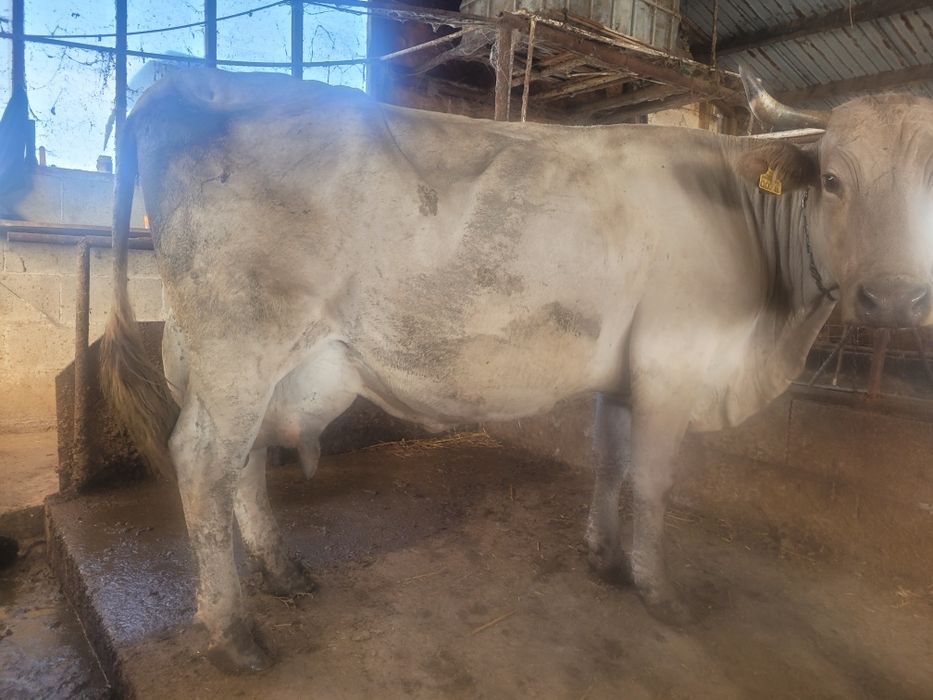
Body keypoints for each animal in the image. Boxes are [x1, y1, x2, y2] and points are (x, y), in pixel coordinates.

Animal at [101, 66, 933, 673]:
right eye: (834, 181)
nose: (892, 298)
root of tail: (189, 79)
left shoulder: (620, 371)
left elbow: (608, 461)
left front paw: (602, 557)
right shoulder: (669, 366)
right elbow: (652, 483)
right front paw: (657, 589)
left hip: (241, 360)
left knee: (242, 464)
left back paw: (282, 573)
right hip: (241, 340)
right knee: (202, 463)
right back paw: (233, 633)